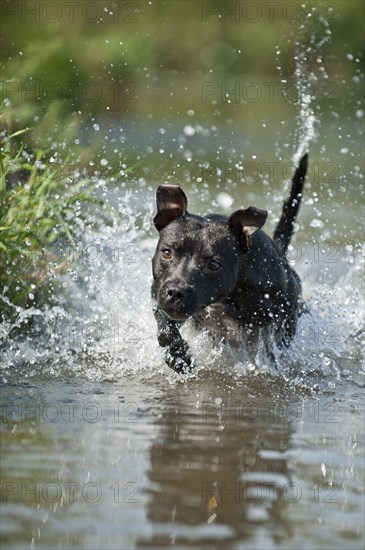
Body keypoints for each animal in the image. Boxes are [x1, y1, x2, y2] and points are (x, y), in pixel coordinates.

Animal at [151, 154, 308, 376]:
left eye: (214, 264)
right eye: (167, 252)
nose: (175, 292)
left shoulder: (275, 323)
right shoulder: (158, 293)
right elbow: (165, 331)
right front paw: (179, 357)